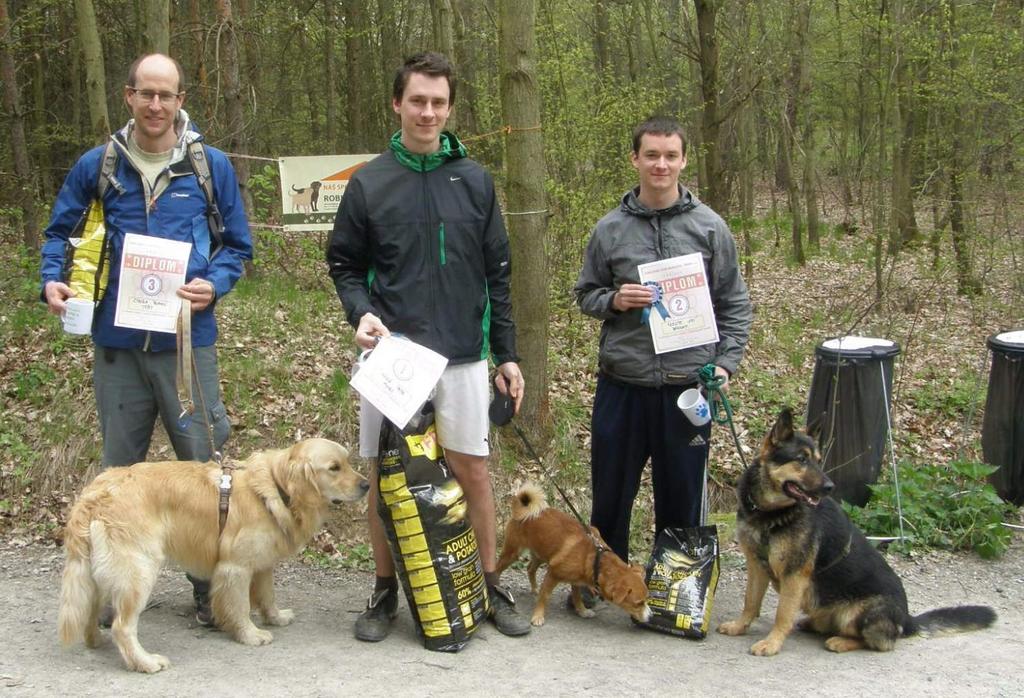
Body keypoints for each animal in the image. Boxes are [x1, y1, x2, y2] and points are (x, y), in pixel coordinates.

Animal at [493, 481, 647, 622]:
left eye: (646, 600)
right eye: (638, 603)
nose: (649, 616)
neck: (595, 558)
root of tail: (523, 509)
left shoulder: (576, 581)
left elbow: (577, 597)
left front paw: (582, 611)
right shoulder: (552, 574)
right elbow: (545, 596)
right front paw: (538, 616)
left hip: (541, 553)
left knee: (530, 568)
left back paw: (534, 588)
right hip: (512, 553)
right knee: (497, 569)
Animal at [716, 407, 995, 650]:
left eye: (818, 461)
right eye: (801, 460)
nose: (830, 487)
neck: (770, 513)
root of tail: (907, 620)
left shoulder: (794, 576)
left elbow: (782, 614)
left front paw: (772, 644)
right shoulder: (756, 565)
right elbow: (750, 602)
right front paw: (739, 626)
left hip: (860, 614)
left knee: (879, 642)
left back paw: (840, 642)